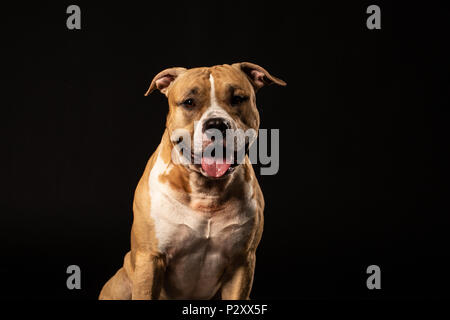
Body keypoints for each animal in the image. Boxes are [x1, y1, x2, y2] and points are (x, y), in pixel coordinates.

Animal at [100, 62, 286, 300]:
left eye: (237, 99)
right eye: (189, 102)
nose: (216, 124)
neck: (206, 191)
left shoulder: (242, 263)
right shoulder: (150, 259)